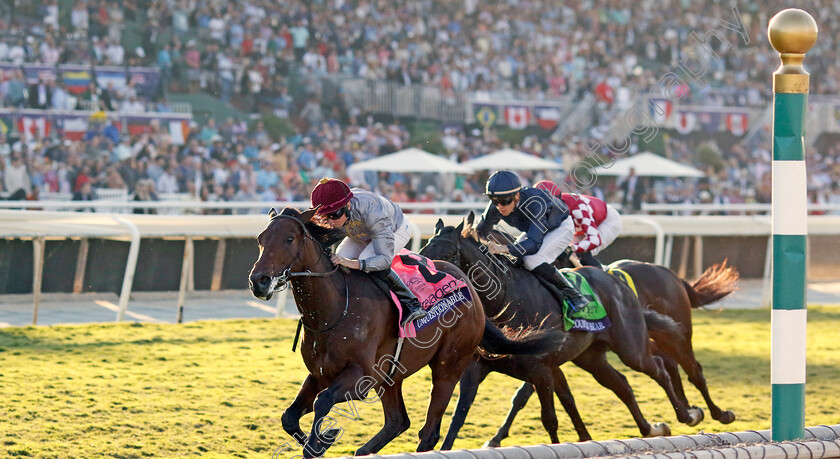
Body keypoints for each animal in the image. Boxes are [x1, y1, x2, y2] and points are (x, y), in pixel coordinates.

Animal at [249, 209, 564, 459]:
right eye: (260, 239)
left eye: (289, 239)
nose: (259, 281)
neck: (335, 308)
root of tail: (472, 292)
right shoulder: (320, 373)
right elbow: (289, 417)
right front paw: (319, 440)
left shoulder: (360, 377)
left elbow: (323, 401)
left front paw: (321, 440)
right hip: (392, 374)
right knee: (398, 421)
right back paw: (364, 450)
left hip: (448, 367)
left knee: (429, 431)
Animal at [418, 215, 696, 450]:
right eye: (421, 253)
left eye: (447, 254)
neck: (506, 302)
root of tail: (618, 281)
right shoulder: (476, 369)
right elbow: (458, 417)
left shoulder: (541, 369)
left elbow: (547, 416)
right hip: (590, 357)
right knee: (621, 384)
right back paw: (651, 428)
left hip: (630, 347)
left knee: (658, 368)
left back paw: (687, 414)